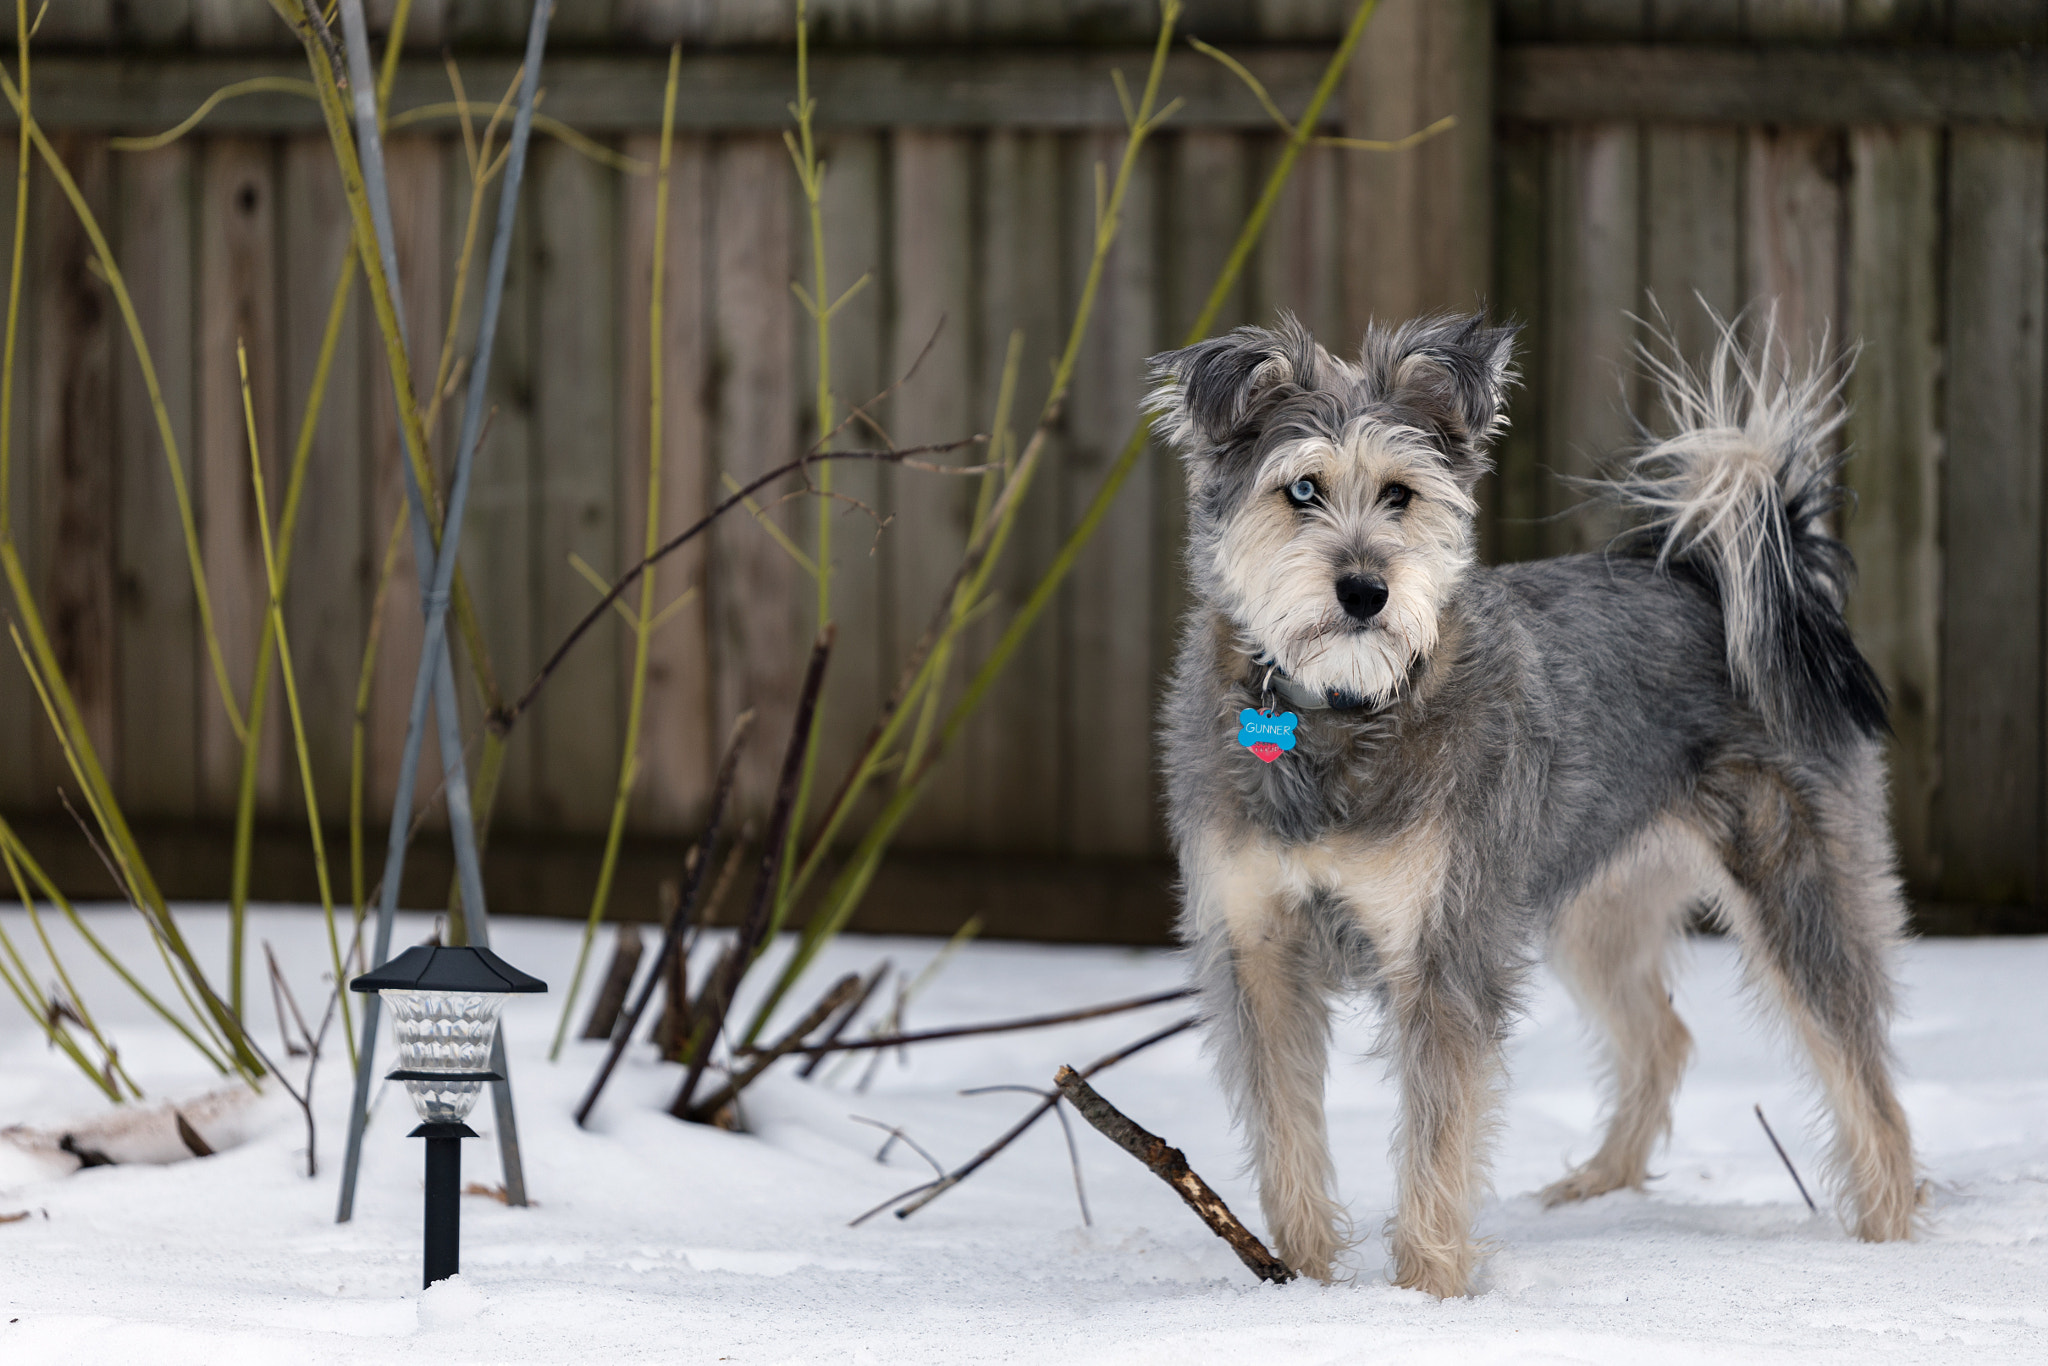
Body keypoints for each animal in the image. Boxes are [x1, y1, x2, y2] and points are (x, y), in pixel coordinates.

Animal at [1155, 313, 1916, 1302]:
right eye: (1303, 489)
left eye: (1400, 494)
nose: (1365, 590)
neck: (1340, 715)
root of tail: (1718, 580)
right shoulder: (1258, 950)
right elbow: (1287, 1139)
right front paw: (1305, 1285)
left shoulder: (1443, 949)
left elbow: (1439, 1146)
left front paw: (1426, 1296)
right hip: (1598, 910)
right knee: (1663, 1037)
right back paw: (1598, 1190)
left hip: (1801, 888)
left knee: (1869, 1084)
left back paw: (1888, 1246)